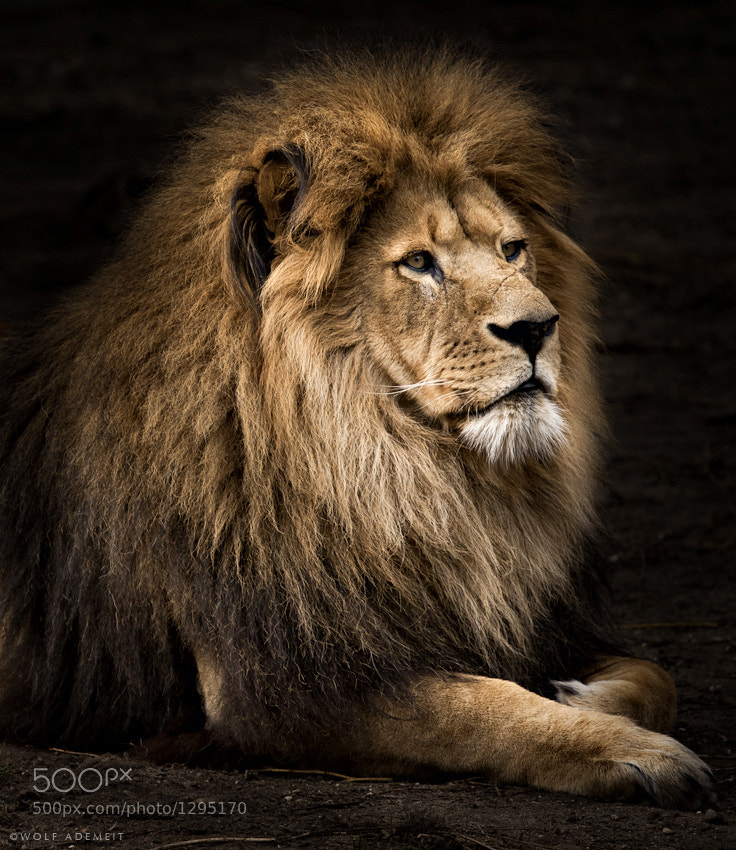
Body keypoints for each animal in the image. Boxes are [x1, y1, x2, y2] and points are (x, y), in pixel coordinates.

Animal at [0, 46, 715, 809]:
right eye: (420, 263)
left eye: (512, 249)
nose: (537, 327)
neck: (402, 474)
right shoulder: (280, 687)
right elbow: (483, 709)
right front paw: (632, 752)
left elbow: (655, 676)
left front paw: (583, 698)